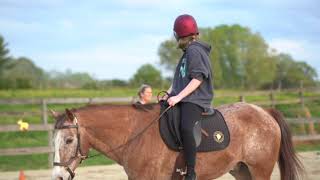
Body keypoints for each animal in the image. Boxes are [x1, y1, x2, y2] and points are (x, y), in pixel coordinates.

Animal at [50, 102, 302, 179]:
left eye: (69, 140)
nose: (58, 176)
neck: (134, 133)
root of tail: (265, 112)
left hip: (259, 170)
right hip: (242, 171)